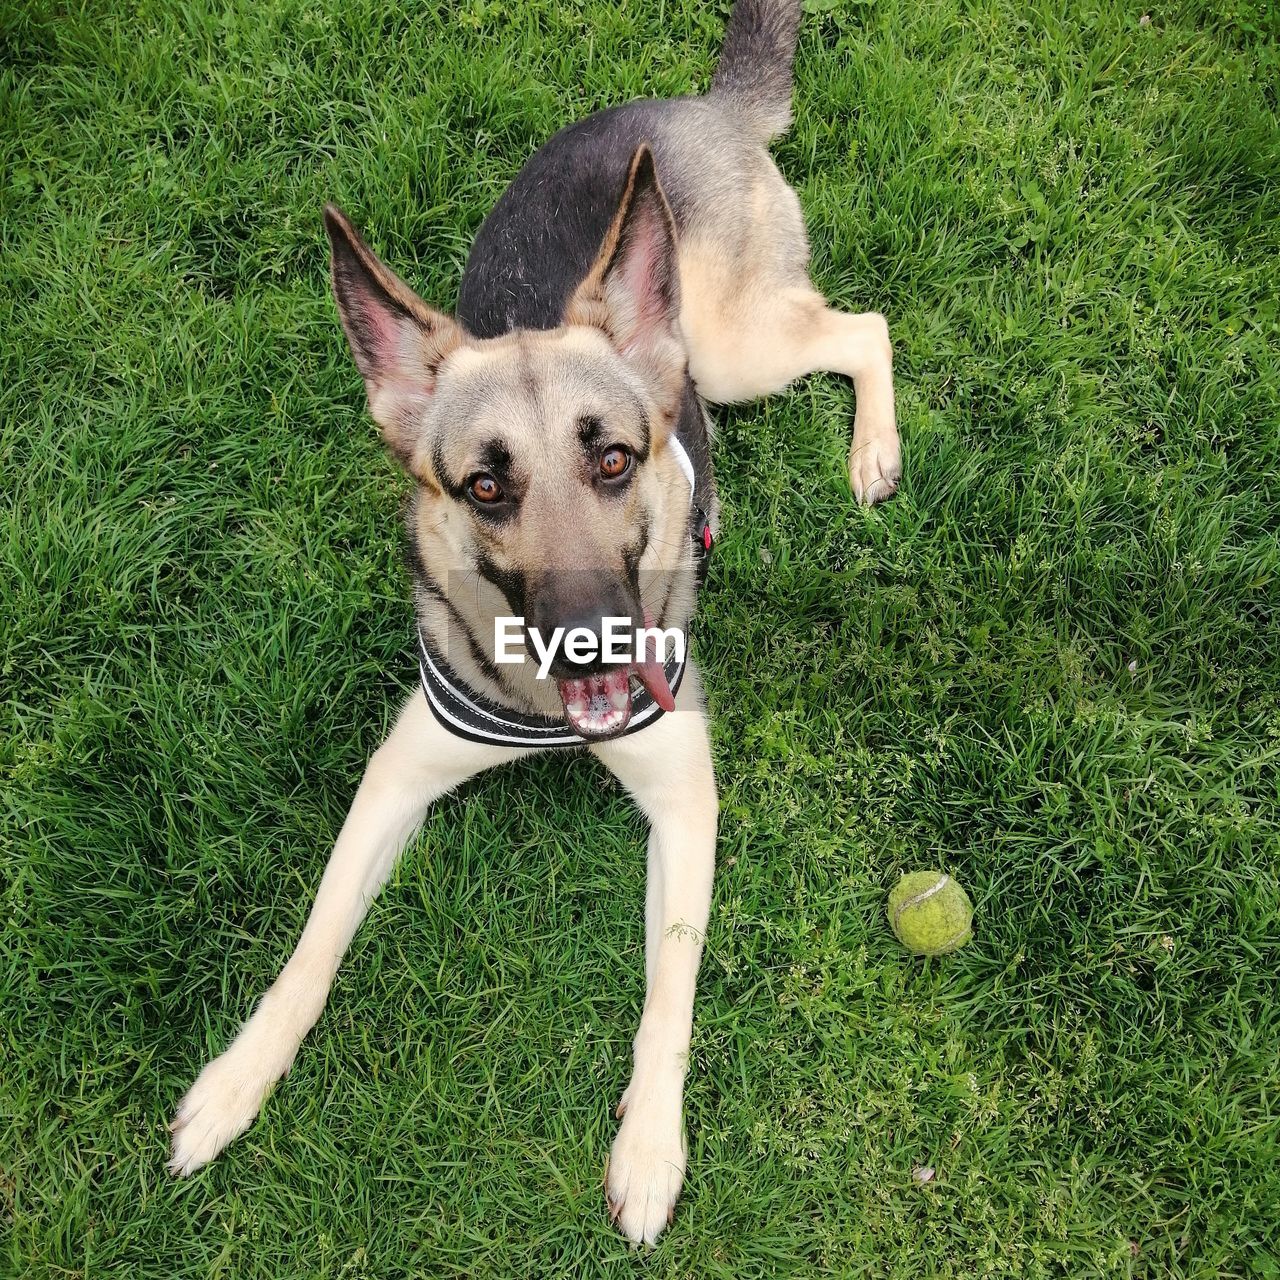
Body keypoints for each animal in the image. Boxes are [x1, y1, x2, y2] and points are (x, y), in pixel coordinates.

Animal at [165, 0, 896, 1239]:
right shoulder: (397, 773)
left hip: (735, 354)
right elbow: (312, 943)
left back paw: (873, 450)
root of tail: (696, 108)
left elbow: (670, 985)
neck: (548, 713)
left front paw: (649, 1147)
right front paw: (234, 1079)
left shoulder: (684, 798)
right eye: (483, 486)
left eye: (613, 458)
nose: (596, 640)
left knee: (865, 326)